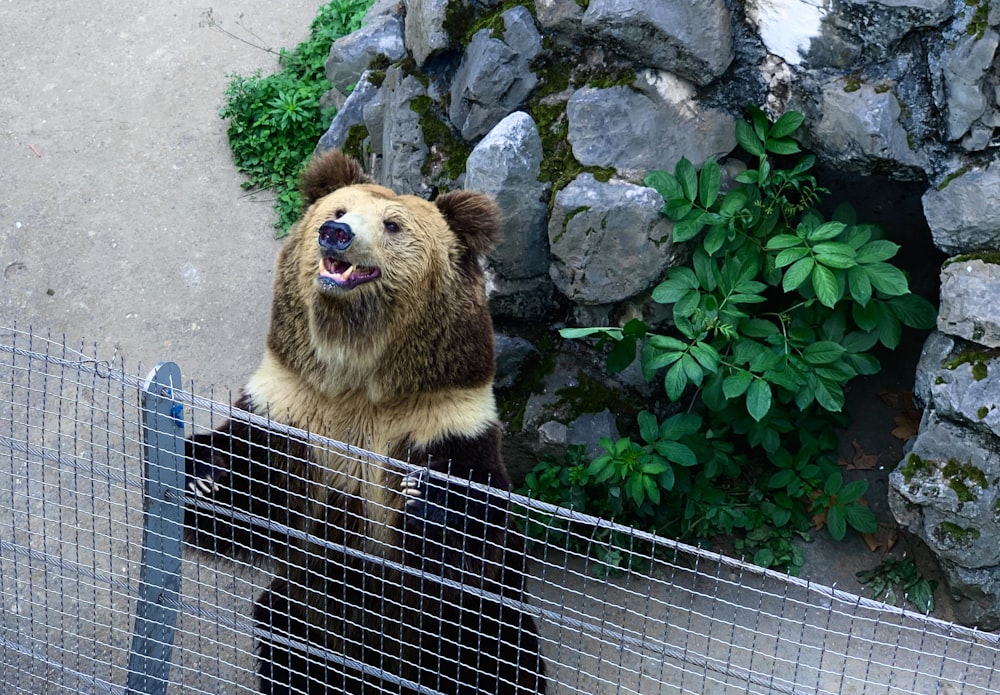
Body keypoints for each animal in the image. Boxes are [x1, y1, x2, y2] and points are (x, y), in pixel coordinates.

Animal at [186, 152, 548, 695]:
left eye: (392, 225)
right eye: (337, 208)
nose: (335, 233)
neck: (358, 378)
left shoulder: (443, 420)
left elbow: (475, 534)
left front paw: (426, 497)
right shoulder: (291, 407)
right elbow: (249, 506)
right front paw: (208, 476)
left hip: (462, 634)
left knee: (501, 657)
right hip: (305, 614)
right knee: (285, 644)